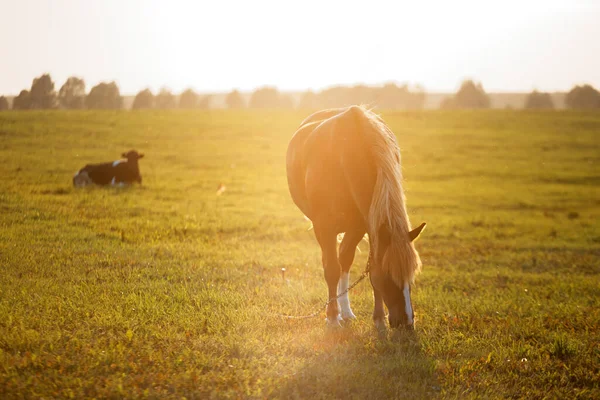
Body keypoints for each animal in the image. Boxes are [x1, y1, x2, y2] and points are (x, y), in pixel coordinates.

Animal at [288, 105, 424, 328]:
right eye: (389, 274)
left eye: (411, 275)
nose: (407, 321)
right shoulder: (324, 226)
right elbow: (331, 269)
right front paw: (332, 317)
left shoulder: (363, 226)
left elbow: (362, 266)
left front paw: (378, 317)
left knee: (344, 259)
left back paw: (346, 310)